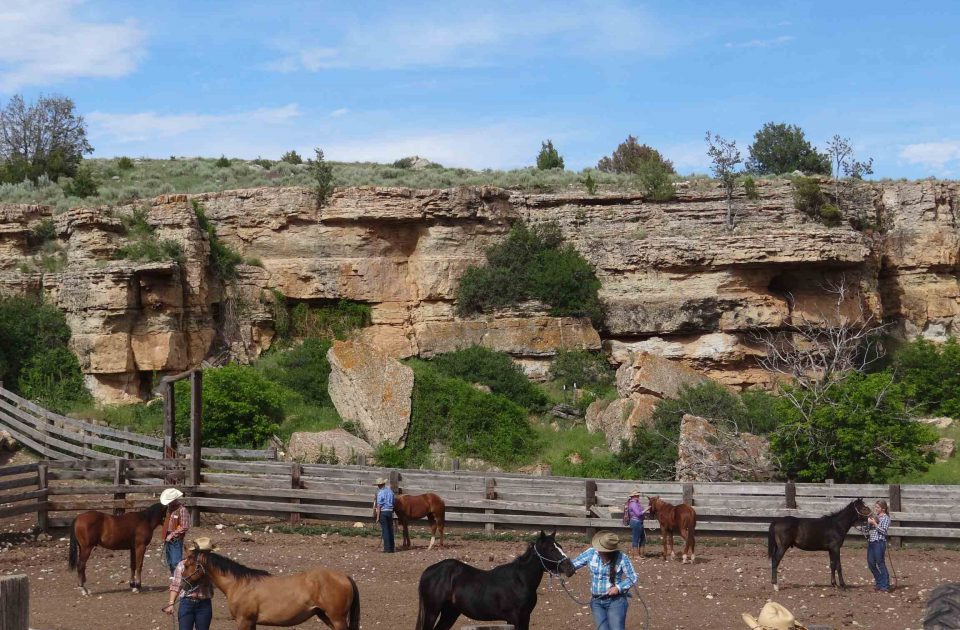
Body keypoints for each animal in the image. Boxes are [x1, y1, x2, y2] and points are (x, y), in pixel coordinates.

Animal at [180, 544, 360, 628]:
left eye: (187, 565)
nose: (182, 585)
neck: (239, 584)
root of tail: (344, 576)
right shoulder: (251, 622)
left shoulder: (243, 621)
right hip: (326, 616)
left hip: (337, 619)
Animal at [416, 532, 572, 630]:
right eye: (551, 549)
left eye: (560, 546)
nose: (570, 567)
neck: (520, 580)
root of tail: (428, 571)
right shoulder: (514, 618)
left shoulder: (525, 616)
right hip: (432, 612)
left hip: (450, 612)